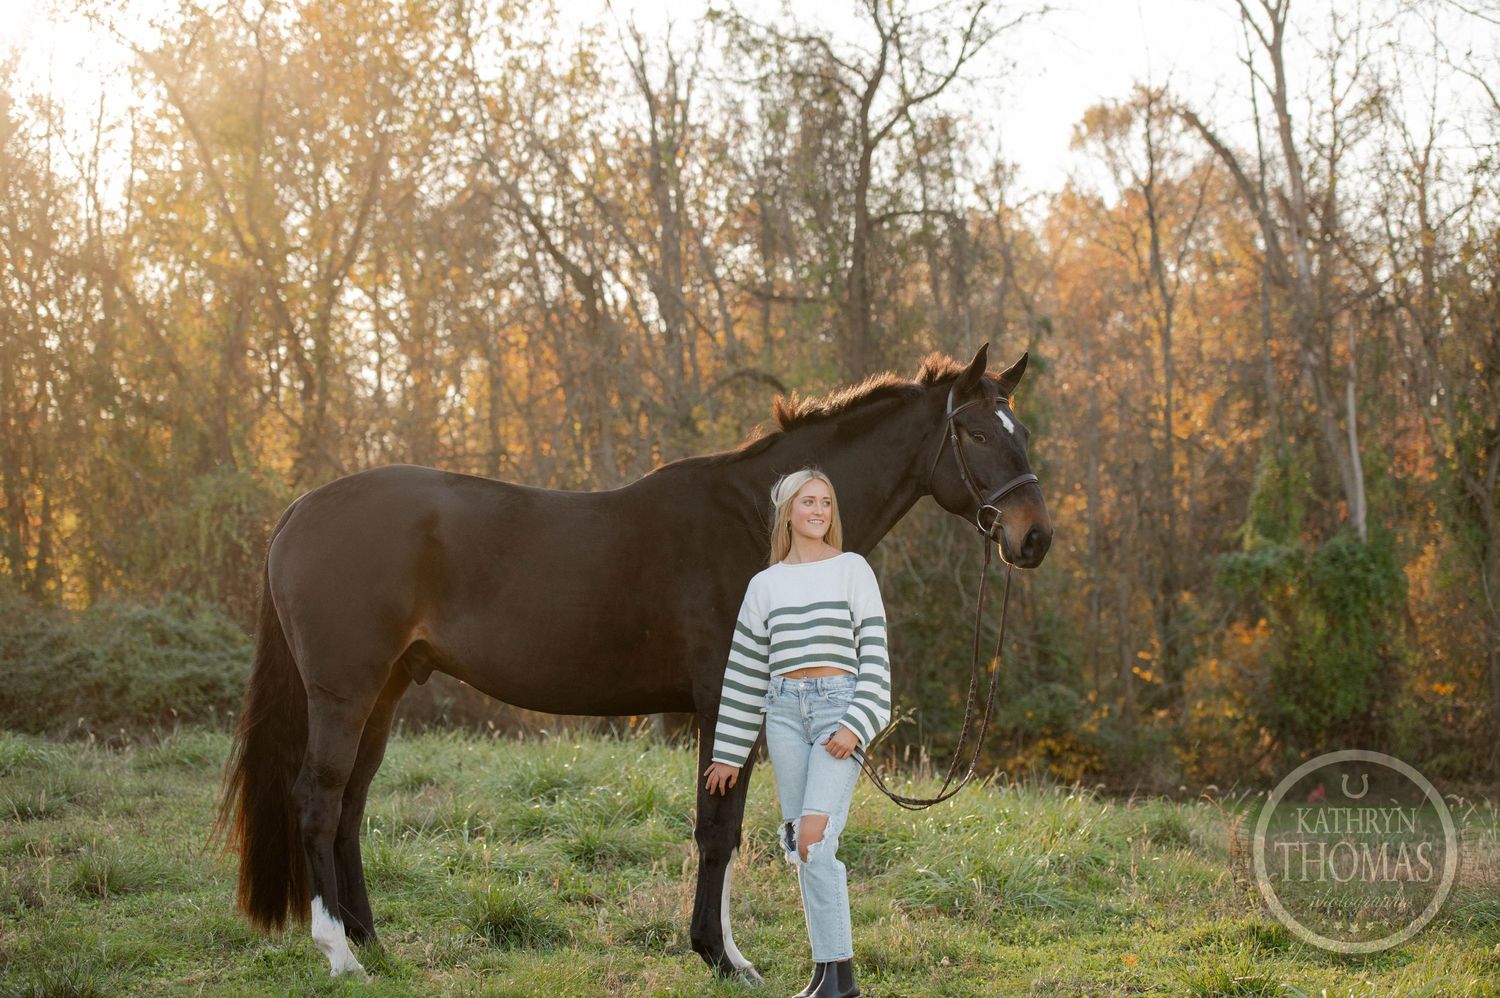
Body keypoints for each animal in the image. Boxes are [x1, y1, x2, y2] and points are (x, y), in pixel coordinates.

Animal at [215, 342, 1052, 980]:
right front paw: (723, 957)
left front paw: (719, 949)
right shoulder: (723, 699)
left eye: (1021, 430)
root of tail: (298, 511)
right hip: (344, 691)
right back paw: (340, 954)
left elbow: (729, 827)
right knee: (319, 799)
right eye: (975, 433)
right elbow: (718, 829)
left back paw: (371, 940)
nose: (1034, 537)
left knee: (352, 805)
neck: (755, 519)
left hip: (386, 691)